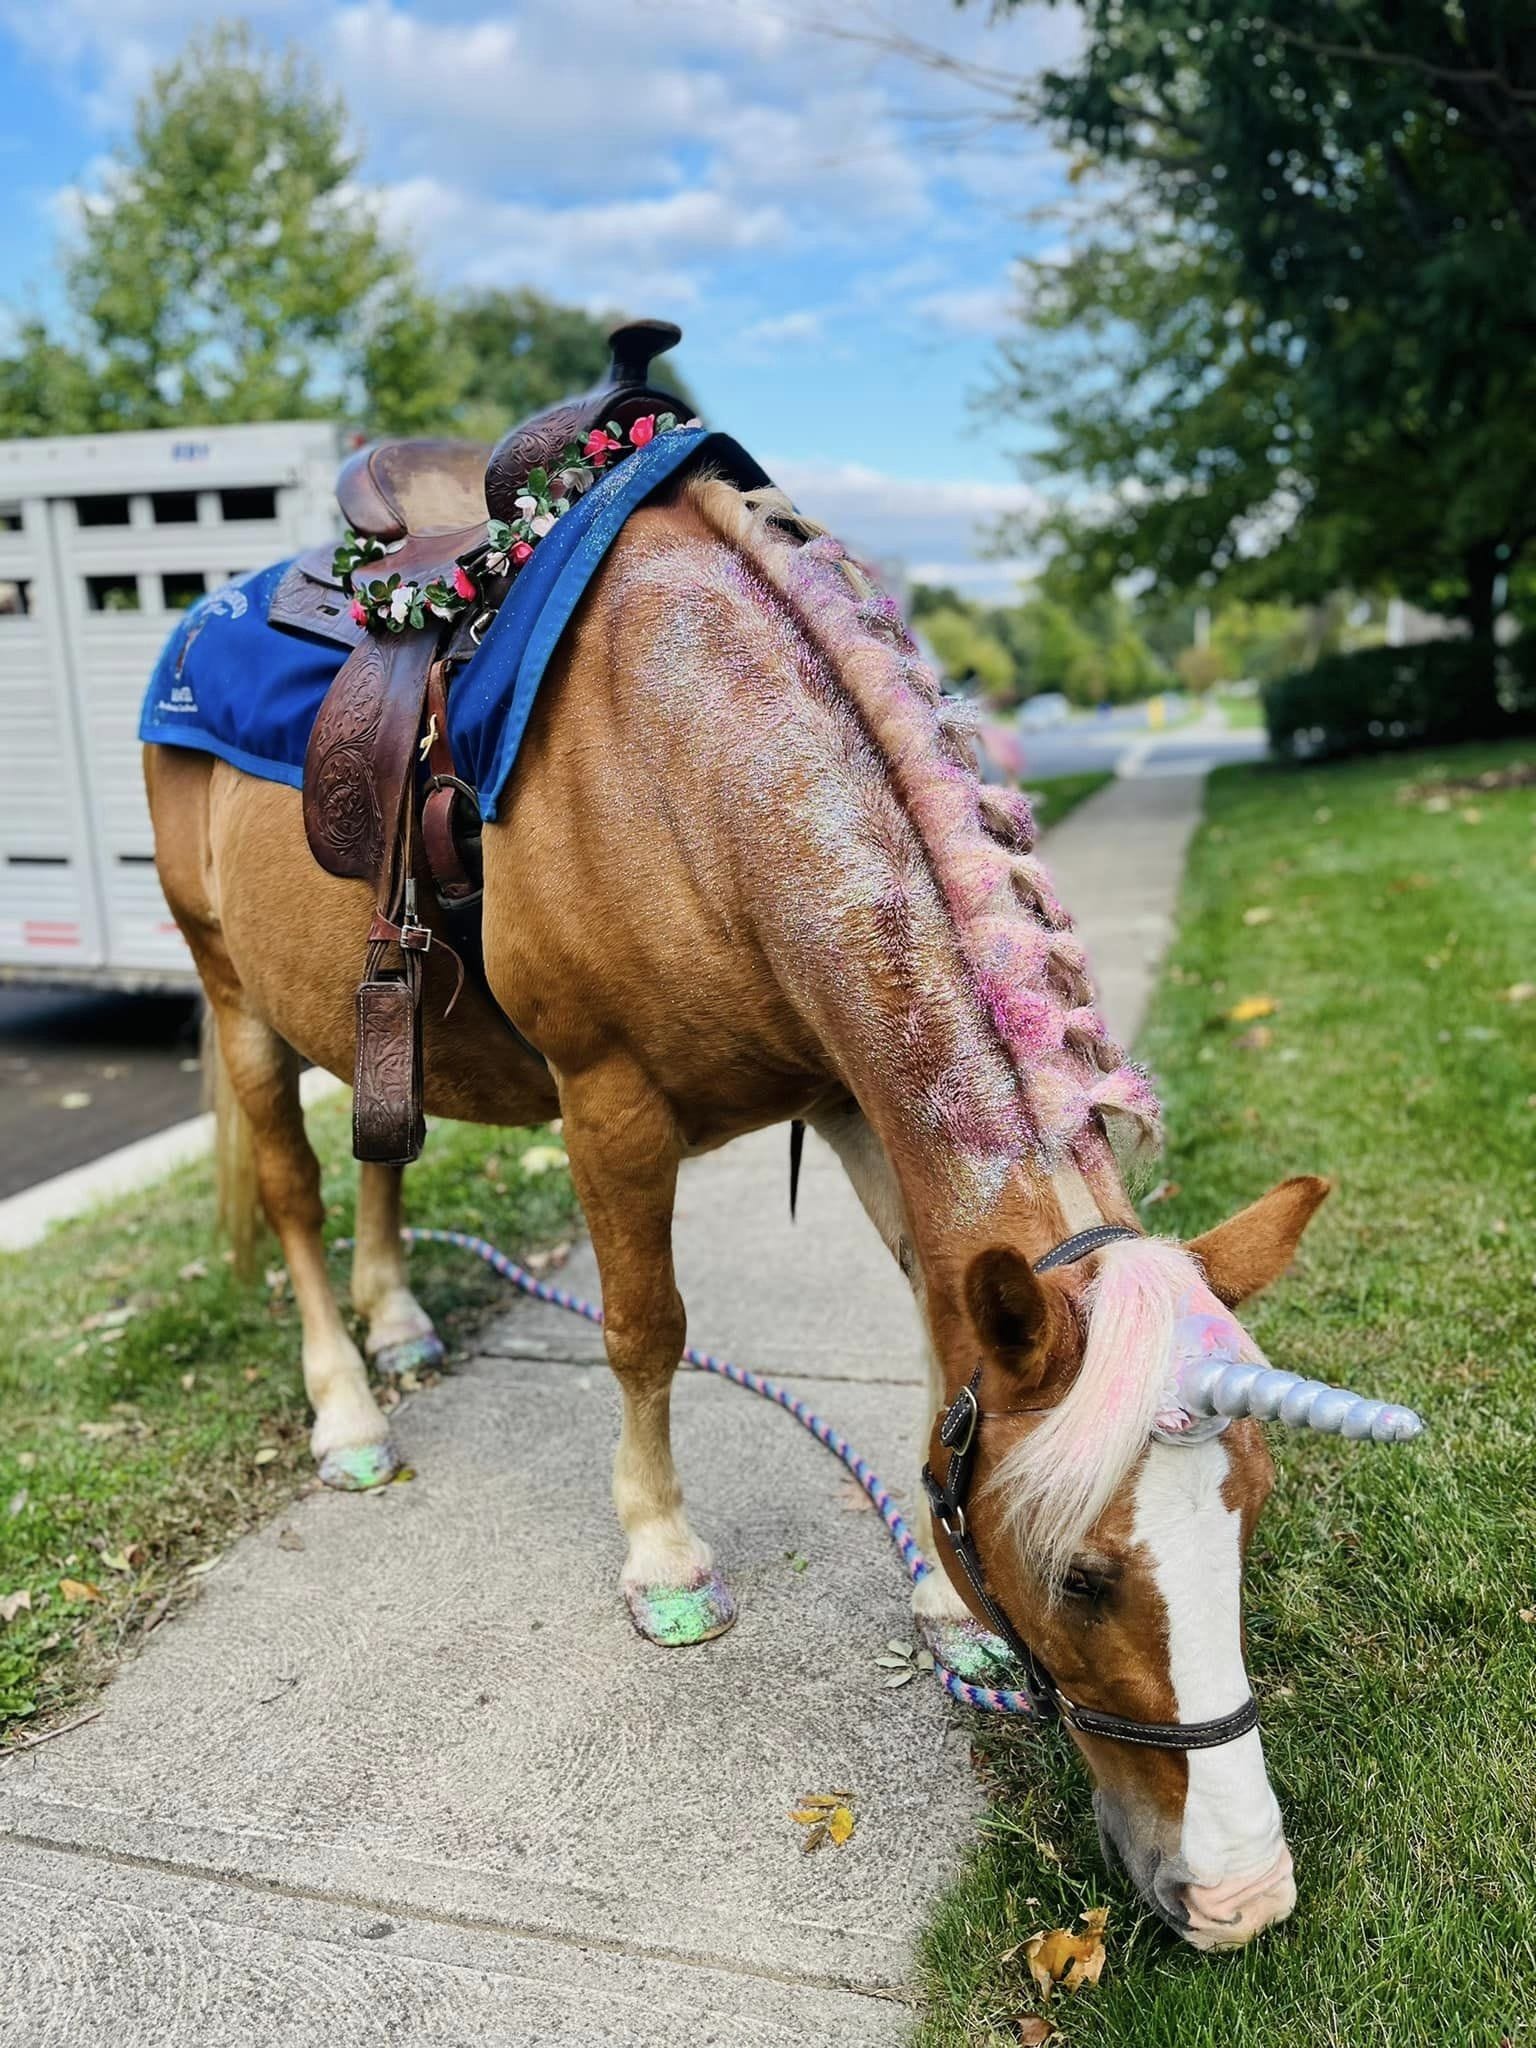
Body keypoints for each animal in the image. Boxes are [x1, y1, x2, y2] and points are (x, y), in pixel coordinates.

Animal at [147, 468, 1433, 1949]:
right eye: (1080, 1576)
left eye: (1251, 1512)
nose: (1243, 1896)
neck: (685, 763)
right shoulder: (610, 1101)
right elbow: (645, 1329)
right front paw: (663, 1560)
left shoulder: (850, 1094)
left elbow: (939, 1335)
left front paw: (940, 1599)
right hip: (233, 990)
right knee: (295, 1190)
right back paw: (349, 1414)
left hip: (367, 1019)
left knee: (379, 1158)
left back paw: (401, 1322)